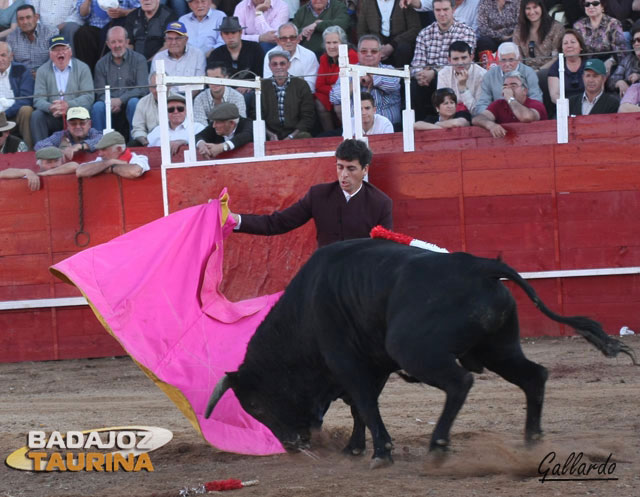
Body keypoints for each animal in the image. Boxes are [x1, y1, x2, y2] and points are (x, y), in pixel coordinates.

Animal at [205, 238, 636, 466]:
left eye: (255, 406)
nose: (292, 445)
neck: (304, 313)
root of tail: (482, 267)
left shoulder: (348, 364)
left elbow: (364, 403)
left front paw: (381, 451)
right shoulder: (372, 366)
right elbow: (360, 407)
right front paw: (355, 447)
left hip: (414, 350)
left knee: (460, 382)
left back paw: (439, 445)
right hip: (498, 348)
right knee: (534, 376)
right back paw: (531, 439)